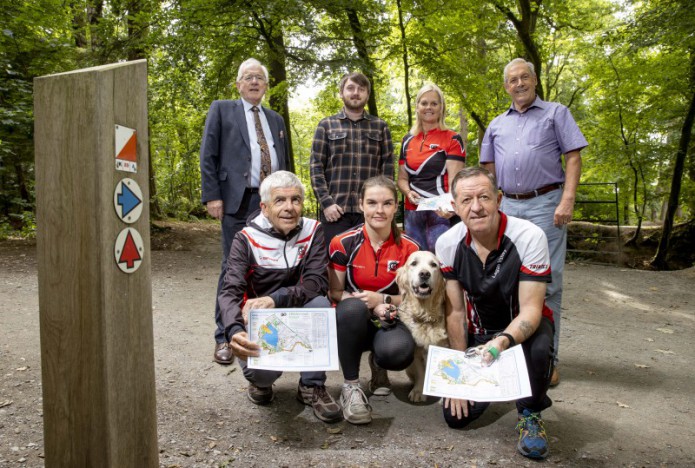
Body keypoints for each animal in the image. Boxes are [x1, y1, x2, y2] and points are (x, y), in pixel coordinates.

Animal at [396, 250, 446, 400]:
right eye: (414, 263)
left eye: (433, 265)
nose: (424, 274)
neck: (425, 313)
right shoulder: (416, 350)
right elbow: (420, 372)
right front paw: (418, 391)